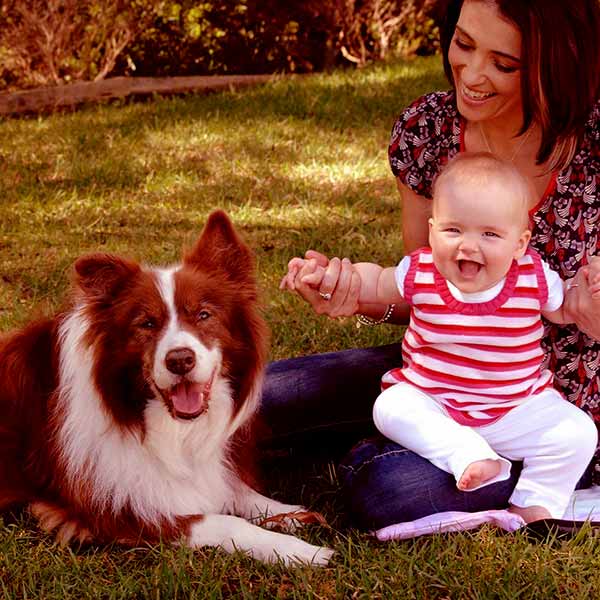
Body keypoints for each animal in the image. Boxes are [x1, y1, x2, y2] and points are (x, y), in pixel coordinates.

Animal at [0, 211, 332, 568]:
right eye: (147, 323)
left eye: (203, 314)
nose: (180, 360)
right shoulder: (115, 511)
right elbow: (225, 520)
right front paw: (297, 550)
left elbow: (237, 491)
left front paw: (289, 513)